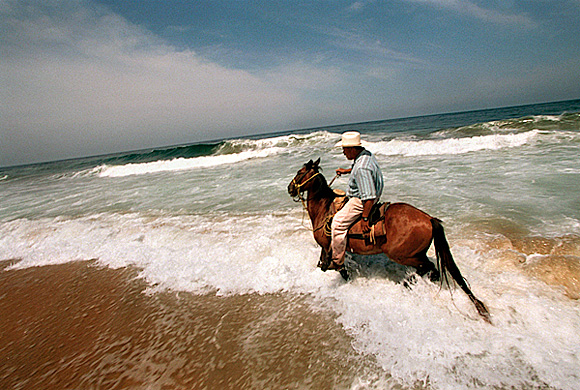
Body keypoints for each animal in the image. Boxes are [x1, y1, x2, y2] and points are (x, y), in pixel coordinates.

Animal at [288, 158, 492, 322]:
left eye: (300, 172)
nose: (290, 188)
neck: (325, 209)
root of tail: (428, 218)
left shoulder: (329, 247)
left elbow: (339, 269)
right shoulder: (327, 249)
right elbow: (324, 266)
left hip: (403, 254)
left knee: (430, 268)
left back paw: (408, 284)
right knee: (429, 270)